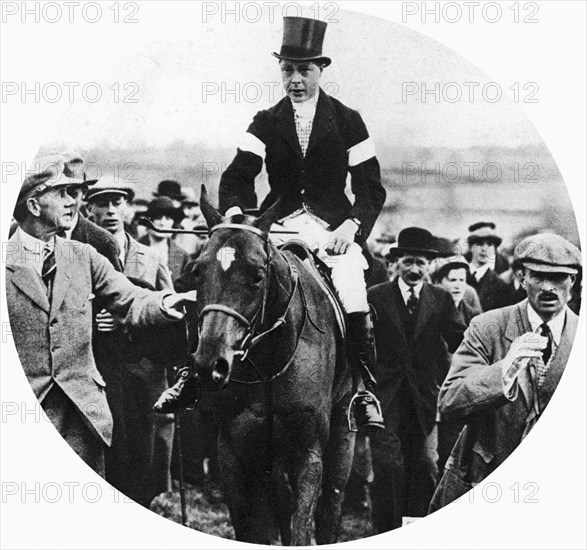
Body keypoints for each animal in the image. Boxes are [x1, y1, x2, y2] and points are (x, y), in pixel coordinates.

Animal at [193, 191, 356, 548]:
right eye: (198, 270)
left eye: (257, 276)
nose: (210, 364)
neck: (270, 358)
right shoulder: (233, 454)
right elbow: (254, 529)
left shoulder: (308, 451)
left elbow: (302, 526)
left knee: (330, 509)